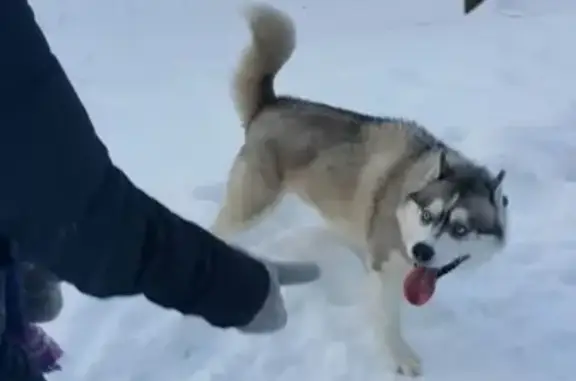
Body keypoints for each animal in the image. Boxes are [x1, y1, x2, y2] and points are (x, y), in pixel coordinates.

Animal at [212, 3, 508, 378]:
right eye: (428, 215)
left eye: (460, 229)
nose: (422, 251)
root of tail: (272, 104)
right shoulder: (386, 265)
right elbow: (388, 319)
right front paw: (401, 356)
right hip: (252, 203)